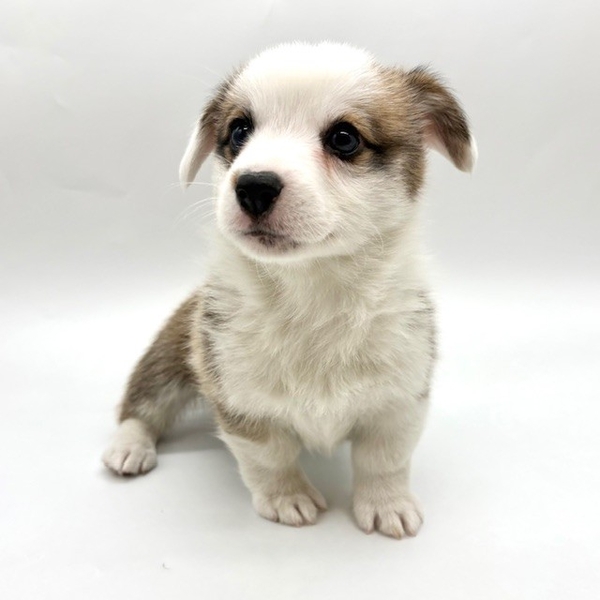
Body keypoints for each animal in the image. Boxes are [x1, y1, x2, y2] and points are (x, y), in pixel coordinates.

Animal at [102, 42, 476, 539]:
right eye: (239, 131)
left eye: (344, 139)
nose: (253, 186)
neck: (311, 289)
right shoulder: (241, 402)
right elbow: (269, 458)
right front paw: (287, 498)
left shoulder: (398, 401)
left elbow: (384, 461)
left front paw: (386, 504)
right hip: (168, 357)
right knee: (140, 403)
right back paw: (128, 447)